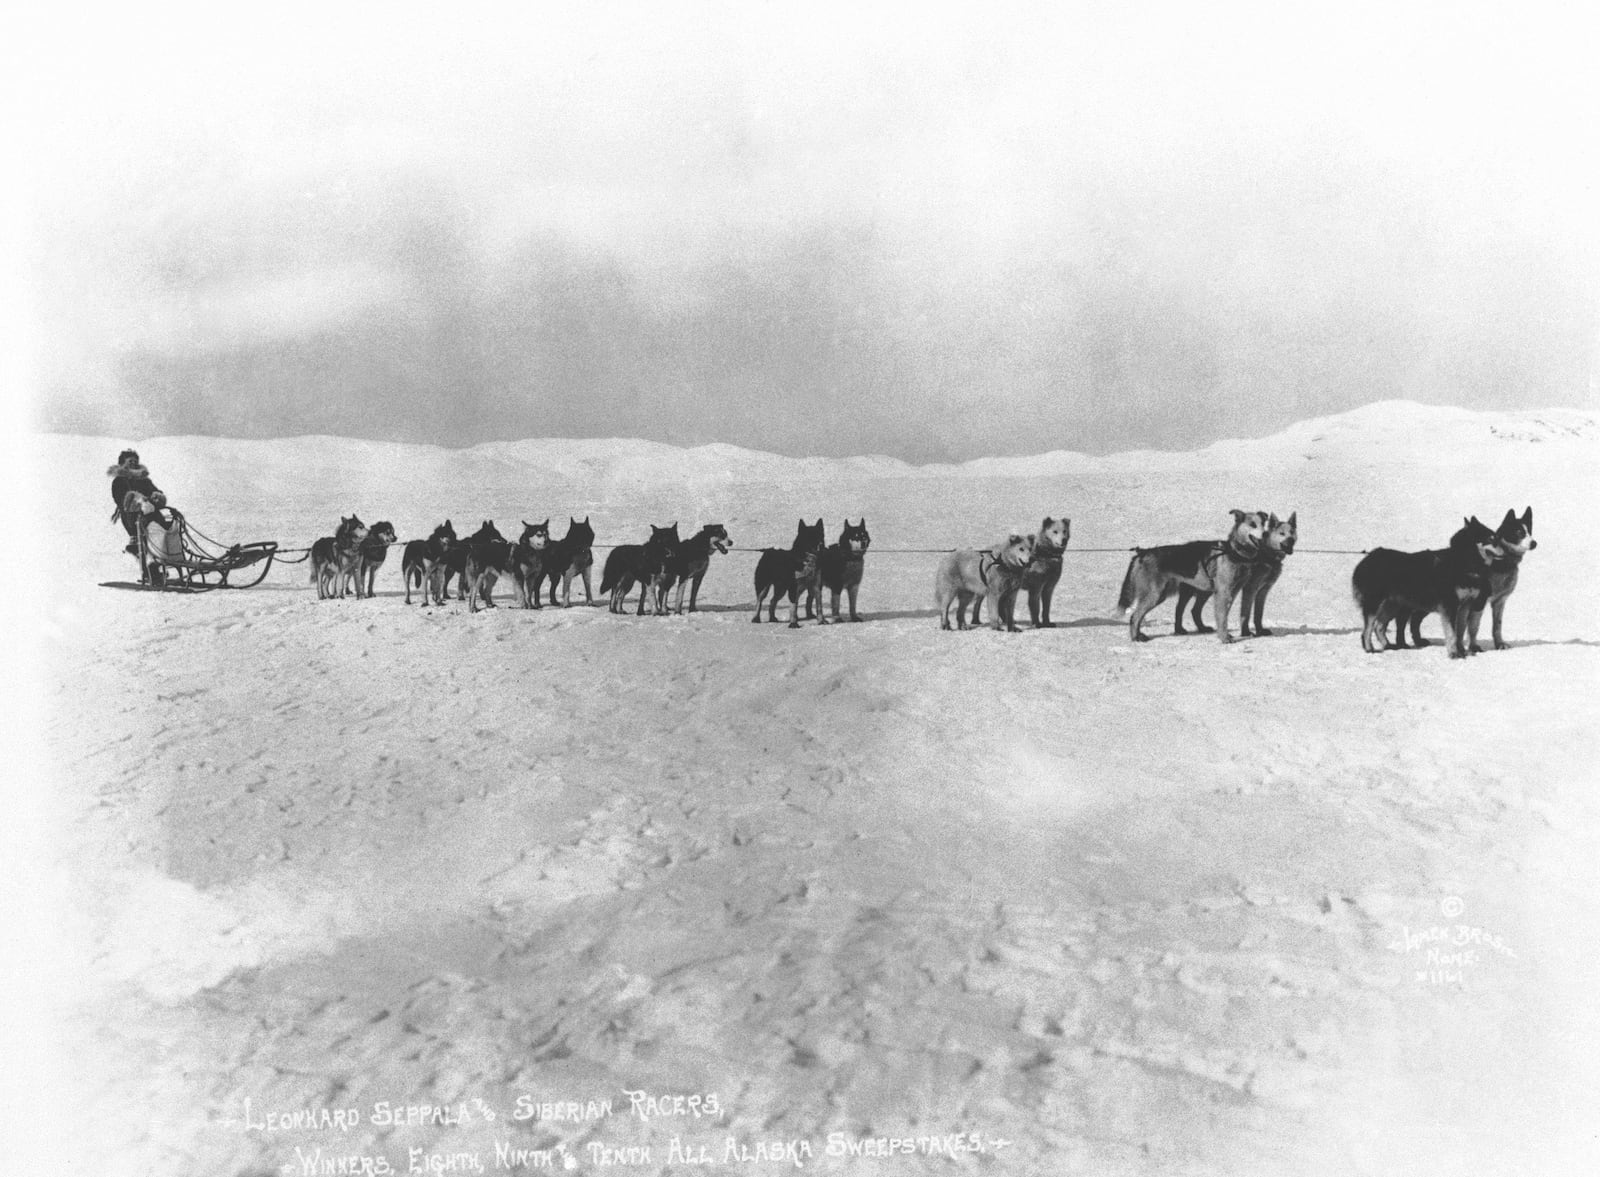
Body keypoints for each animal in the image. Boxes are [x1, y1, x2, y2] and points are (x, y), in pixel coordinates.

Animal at [1120, 511, 1267, 642]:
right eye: (1252, 524)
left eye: (1263, 524)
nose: (1265, 534)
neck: (1235, 552)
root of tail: (1142, 553)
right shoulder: (1224, 592)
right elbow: (1222, 617)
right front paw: (1224, 638)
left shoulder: (1232, 592)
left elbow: (1224, 615)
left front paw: (1225, 634)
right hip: (1156, 595)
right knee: (1135, 616)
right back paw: (1136, 638)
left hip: (1195, 591)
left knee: (1189, 611)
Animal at [1356, 518, 1504, 658]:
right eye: (1491, 538)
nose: (1506, 551)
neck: (1463, 562)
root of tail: (1370, 557)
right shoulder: (1450, 605)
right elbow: (1452, 633)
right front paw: (1454, 653)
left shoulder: (1465, 605)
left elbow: (1460, 631)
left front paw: (1461, 650)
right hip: (1376, 604)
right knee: (1368, 629)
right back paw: (1369, 648)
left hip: (1393, 605)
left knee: (1379, 626)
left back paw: (1389, 645)